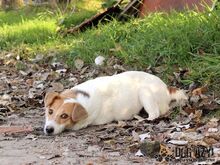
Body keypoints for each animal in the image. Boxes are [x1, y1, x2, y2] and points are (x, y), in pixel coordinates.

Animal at [43, 70, 187, 135]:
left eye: (64, 116)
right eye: (50, 111)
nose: (48, 129)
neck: (80, 98)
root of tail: (167, 89)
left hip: (144, 93)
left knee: (156, 113)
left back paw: (141, 120)